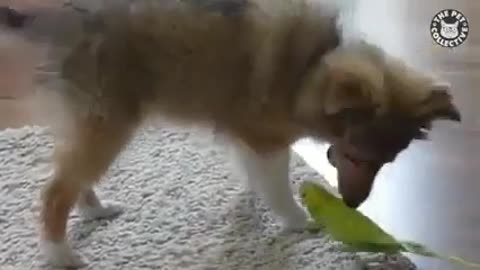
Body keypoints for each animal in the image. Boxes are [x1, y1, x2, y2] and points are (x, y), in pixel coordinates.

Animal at [13, 0, 460, 266]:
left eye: (385, 161)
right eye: (354, 155)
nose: (351, 206)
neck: (309, 70)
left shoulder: (244, 131)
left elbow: (251, 173)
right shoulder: (267, 140)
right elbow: (277, 187)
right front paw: (300, 221)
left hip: (89, 123)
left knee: (71, 179)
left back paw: (95, 210)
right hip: (111, 121)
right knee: (54, 191)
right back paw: (61, 255)